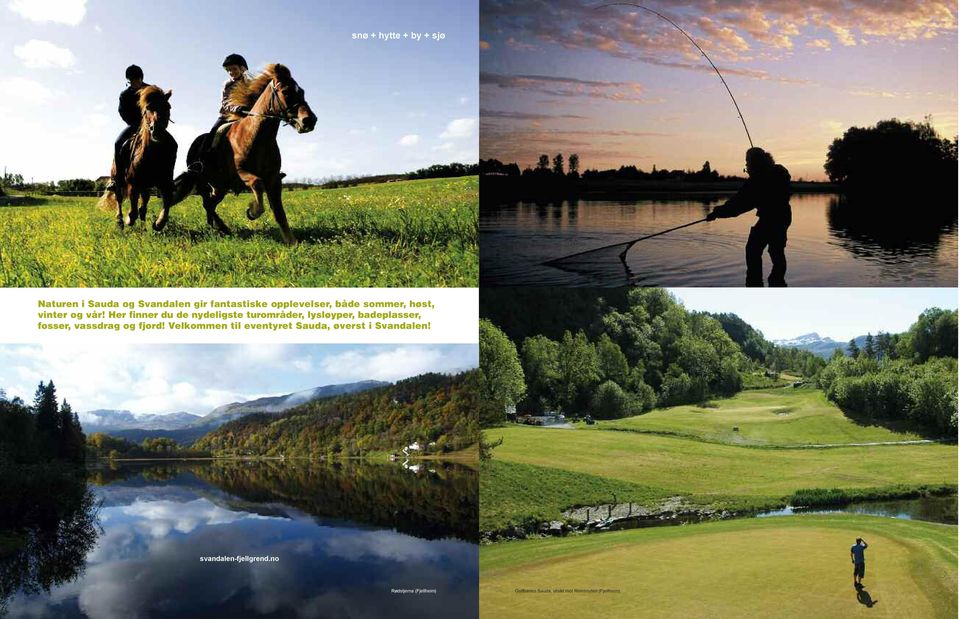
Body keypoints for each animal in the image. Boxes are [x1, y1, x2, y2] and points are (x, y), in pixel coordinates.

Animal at [99, 85, 178, 230]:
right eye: (148, 108)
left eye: (168, 106)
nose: (157, 130)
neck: (153, 156)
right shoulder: (133, 185)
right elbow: (133, 211)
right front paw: (128, 220)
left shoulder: (164, 183)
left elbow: (166, 202)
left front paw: (158, 223)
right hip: (118, 180)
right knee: (119, 198)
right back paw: (120, 221)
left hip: (145, 187)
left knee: (143, 207)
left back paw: (143, 227)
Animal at [176, 63, 318, 245]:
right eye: (286, 92)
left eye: (302, 92)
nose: (309, 121)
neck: (257, 135)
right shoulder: (241, 172)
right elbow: (257, 183)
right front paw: (252, 211)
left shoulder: (273, 179)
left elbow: (279, 212)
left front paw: (291, 241)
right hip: (208, 181)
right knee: (208, 203)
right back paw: (222, 228)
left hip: (219, 187)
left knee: (209, 203)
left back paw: (219, 228)